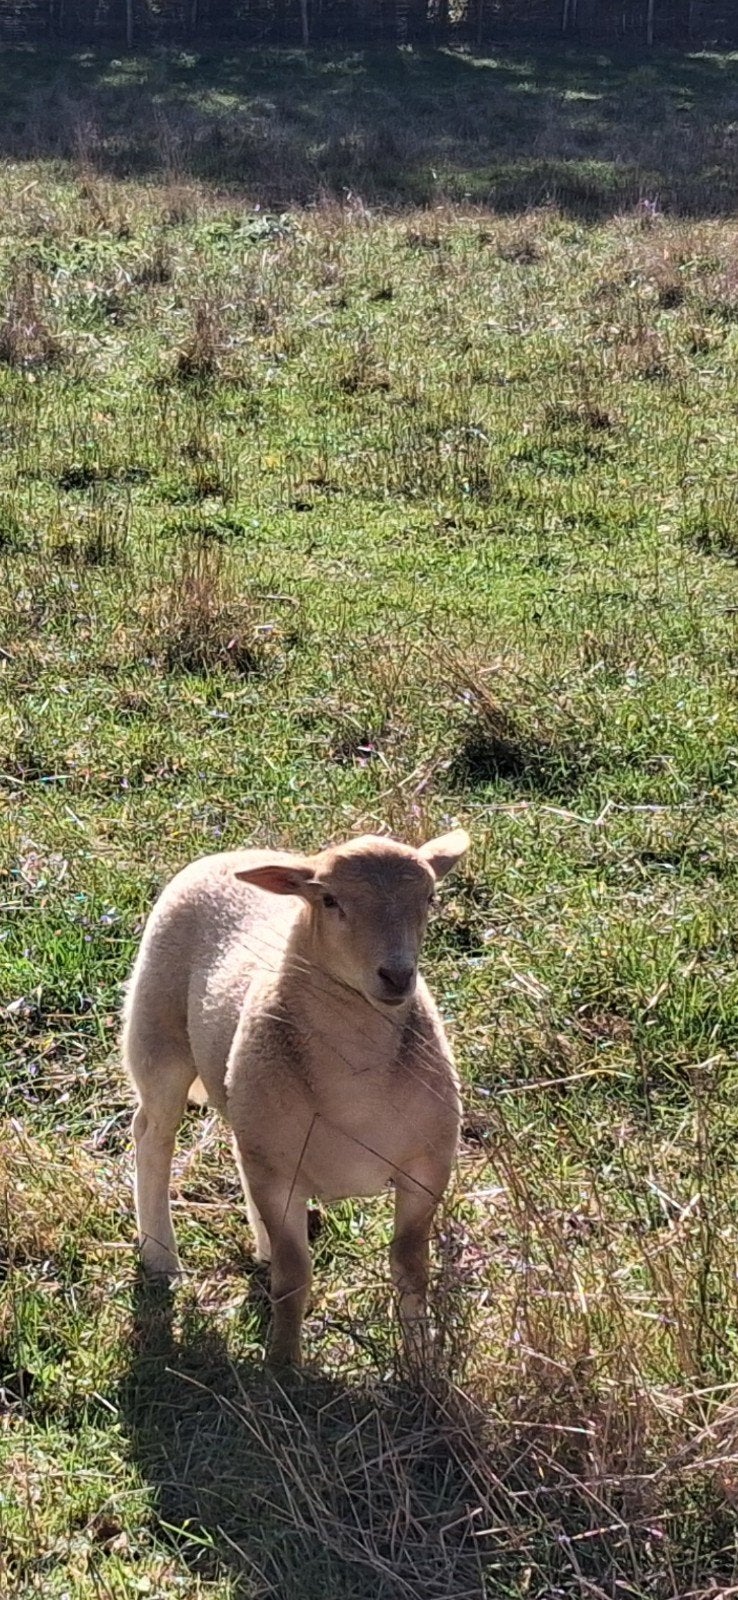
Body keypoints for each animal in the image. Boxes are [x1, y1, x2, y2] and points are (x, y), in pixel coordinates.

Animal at [123, 828, 469, 1367]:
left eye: (430, 898)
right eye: (329, 900)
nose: (397, 976)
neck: (356, 1085)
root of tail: (235, 852)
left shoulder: (427, 1168)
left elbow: (411, 1270)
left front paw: (419, 1359)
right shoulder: (277, 1175)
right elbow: (293, 1278)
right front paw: (283, 1365)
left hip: (249, 1104)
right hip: (158, 1036)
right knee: (152, 1136)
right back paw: (160, 1255)